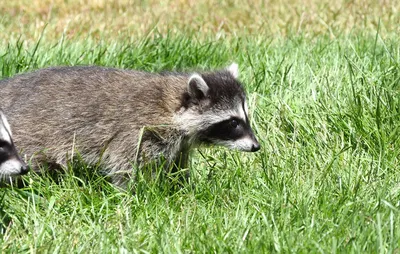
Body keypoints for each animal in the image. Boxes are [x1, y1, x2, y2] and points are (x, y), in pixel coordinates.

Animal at [0, 63, 260, 187]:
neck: (170, 104)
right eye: (233, 123)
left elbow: (177, 167)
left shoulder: (179, 144)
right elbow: (125, 167)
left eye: (245, 117)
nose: (257, 146)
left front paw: (181, 187)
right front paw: (137, 194)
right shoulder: (139, 131)